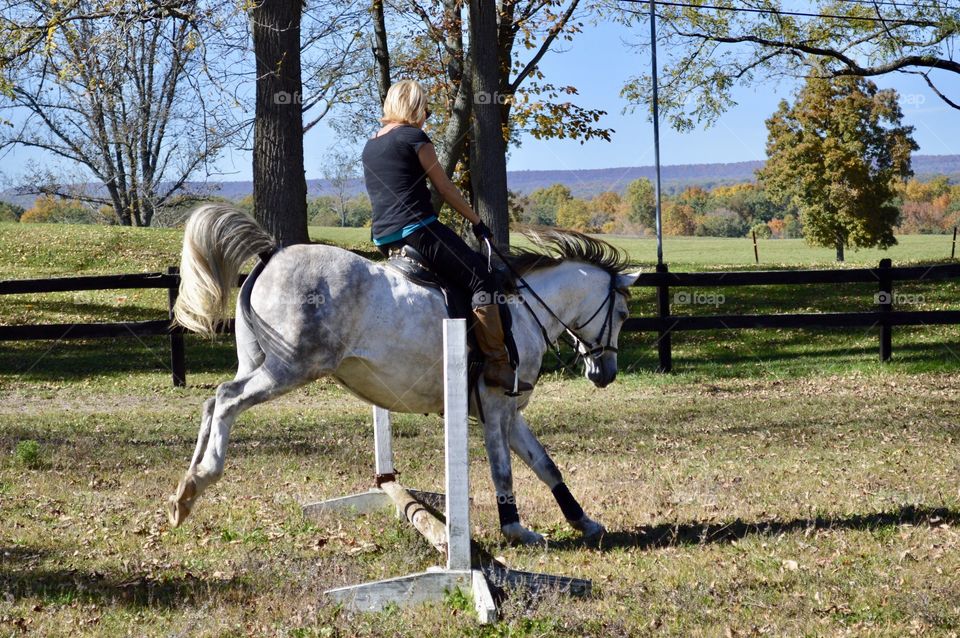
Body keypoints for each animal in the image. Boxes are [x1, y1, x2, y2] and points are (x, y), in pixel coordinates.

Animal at [169, 205, 640, 544]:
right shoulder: (494, 407)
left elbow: (546, 466)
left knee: (212, 401)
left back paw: (184, 493)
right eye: (622, 313)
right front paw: (516, 529)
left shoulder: (510, 412)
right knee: (227, 398)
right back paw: (202, 477)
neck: (524, 311)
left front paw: (584, 521)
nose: (605, 373)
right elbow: (503, 470)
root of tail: (271, 254)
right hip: (289, 367)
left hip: (258, 362)